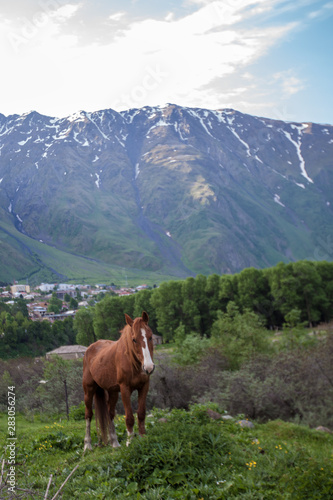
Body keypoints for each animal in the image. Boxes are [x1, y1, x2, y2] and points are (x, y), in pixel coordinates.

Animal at [83, 310, 156, 452]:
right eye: (134, 339)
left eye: (150, 337)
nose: (149, 367)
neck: (133, 362)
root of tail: (90, 349)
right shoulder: (125, 389)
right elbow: (129, 417)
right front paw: (130, 441)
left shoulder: (144, 386)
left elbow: (141, 413)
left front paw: (143, 437)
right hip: (88, 390)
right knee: (88, 414)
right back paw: (87, 445)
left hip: (113, 392)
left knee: (110, 413)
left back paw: (114, 442)